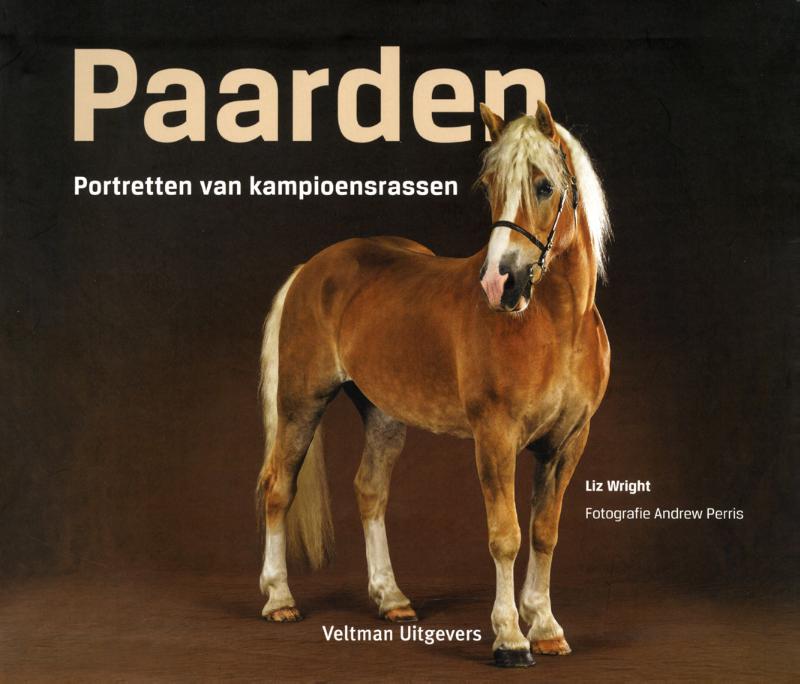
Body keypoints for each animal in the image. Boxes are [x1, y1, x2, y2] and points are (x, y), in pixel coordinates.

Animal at [256, 101, 611, 668]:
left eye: (543, 186)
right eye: (490, 187)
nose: (499, 283)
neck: (557, 328)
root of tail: (312, 267)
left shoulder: (569, 442)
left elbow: (544, 533)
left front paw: (546, 627)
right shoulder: (496, 437)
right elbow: (506, 535)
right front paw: (510, 638)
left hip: (383, 414)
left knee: (370, 491)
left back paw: (391, 599)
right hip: (300, 403)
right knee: (278, 488)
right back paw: (279, 600)